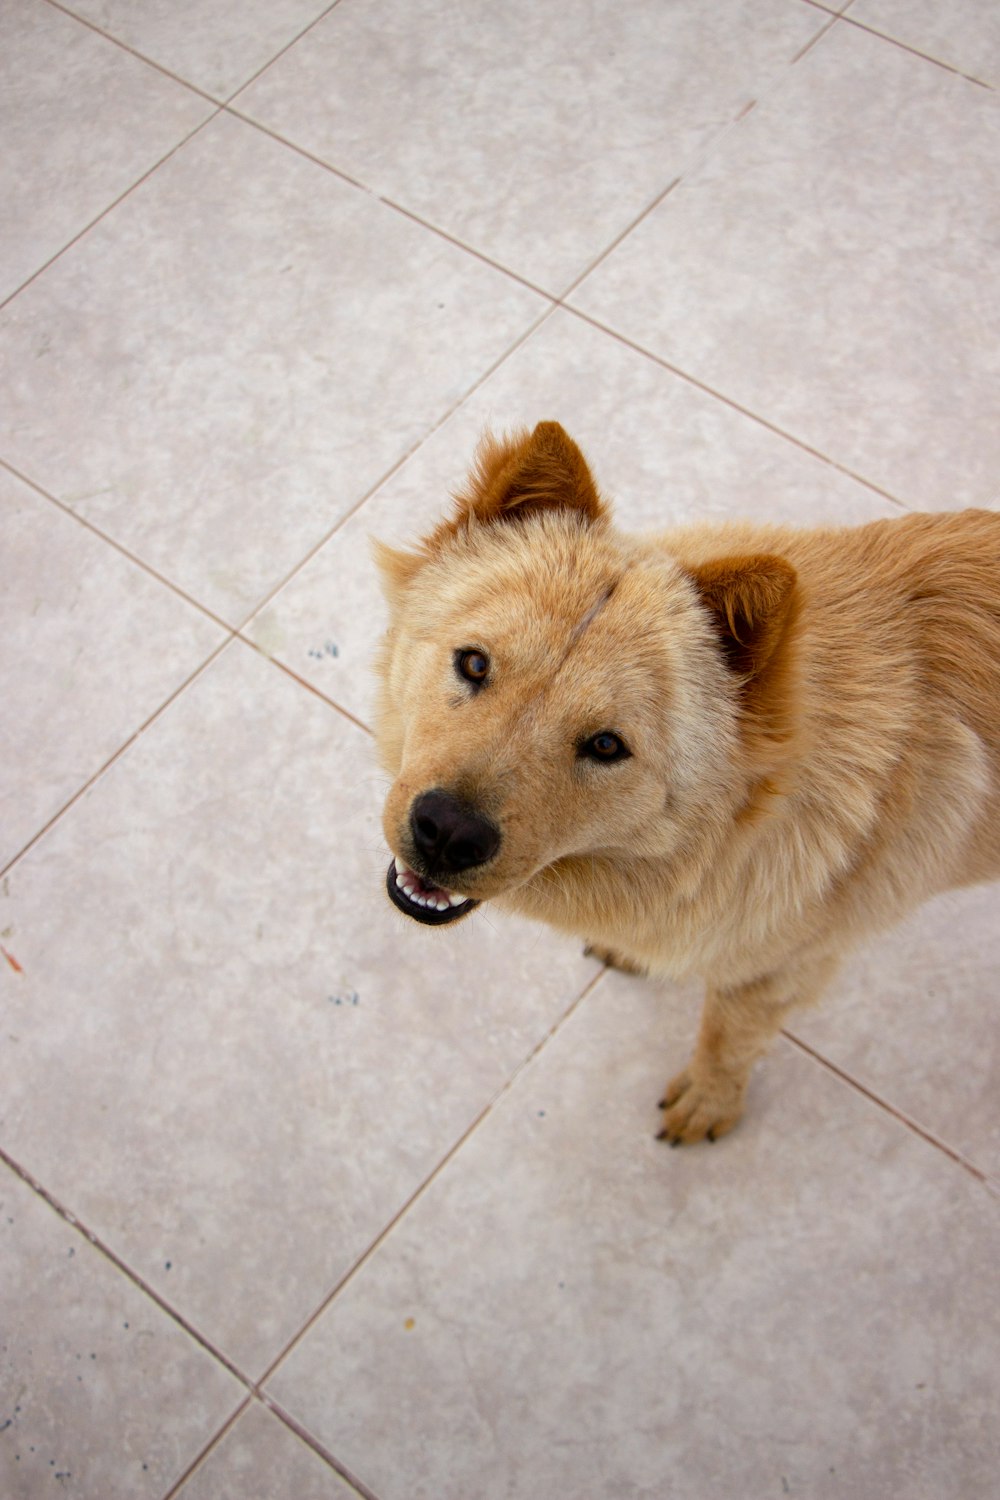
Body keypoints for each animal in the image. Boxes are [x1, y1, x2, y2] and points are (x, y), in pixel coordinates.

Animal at [373, 423, 1000, 1146]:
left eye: (607, 745)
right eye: (474, 664)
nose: (446, 833)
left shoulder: (778, 971)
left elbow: (727, 1038)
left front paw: (709, 1101)